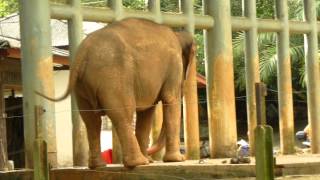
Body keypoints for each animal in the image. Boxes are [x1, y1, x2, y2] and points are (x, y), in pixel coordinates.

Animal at [37, 18, 196, 169]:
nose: (151, 157)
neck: (178, 35)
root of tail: (83, 52)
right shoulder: (174, 65)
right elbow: (170, 99)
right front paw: (177, 160)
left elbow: (147, 112)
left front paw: (153, 161)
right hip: (114, 77)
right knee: (123, 113)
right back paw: (139, 162)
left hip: (82, 86)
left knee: (91, 120)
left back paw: (99, 165)